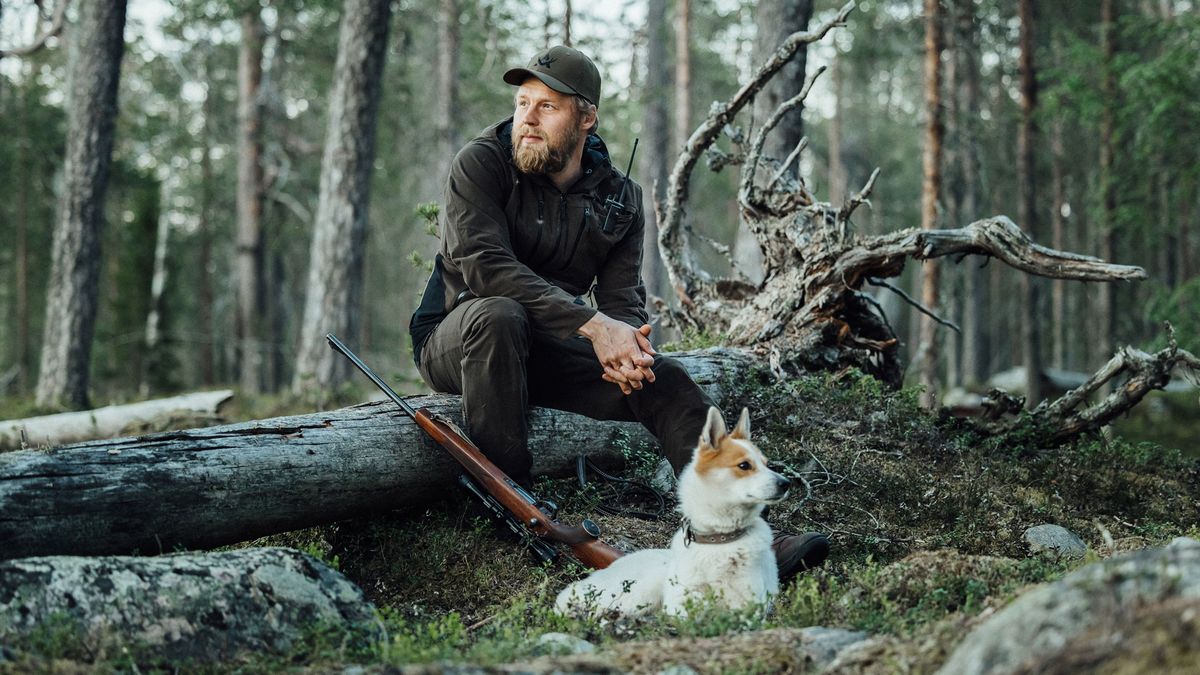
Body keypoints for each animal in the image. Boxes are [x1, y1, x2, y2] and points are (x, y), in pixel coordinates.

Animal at [556, 401, 792, 619]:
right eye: (744, 465)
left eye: (766, 464)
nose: (786, 483)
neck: (718, 539)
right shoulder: (680, 603)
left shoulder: (747, 606)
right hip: (640, 592)